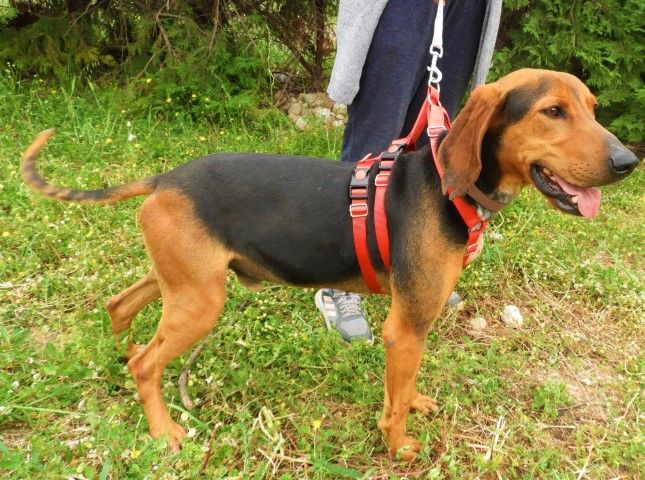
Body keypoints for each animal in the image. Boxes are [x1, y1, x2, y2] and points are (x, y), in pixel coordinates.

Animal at [21, 69, 639, 461]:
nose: (628, 161)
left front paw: (413, 402)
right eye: (552, 112)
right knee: (148, 365)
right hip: (200, 301)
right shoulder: (405, 327)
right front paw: (398, 447)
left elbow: (404, 386)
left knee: (120, 307)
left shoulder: (415, 322)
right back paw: (163, 429)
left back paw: (116, 354)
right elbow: (393, 407)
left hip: (180, 280)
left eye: (592, 110)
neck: (447, 188)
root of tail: (165, 178)